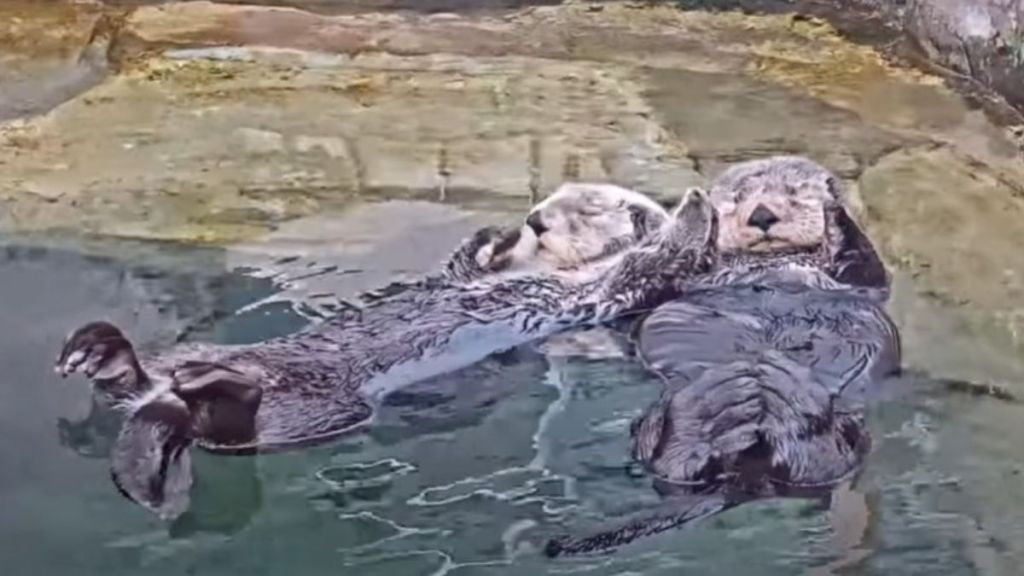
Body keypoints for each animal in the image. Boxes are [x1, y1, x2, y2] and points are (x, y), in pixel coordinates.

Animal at [54, 187, 712, 516]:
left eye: (590, 208)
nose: (534, 221)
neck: (549, 271)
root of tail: (165, 394)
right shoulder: (471, 275)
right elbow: (463, 265)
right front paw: (493, 237)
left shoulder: (615, 290)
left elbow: (658, 259)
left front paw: (696, 206)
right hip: (187, 357)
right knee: (132, 385)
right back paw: (99, 353)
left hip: (317, 411)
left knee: (229, 431)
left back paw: (210, 389)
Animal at [540, 154, 901, 553]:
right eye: (737, 197)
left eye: (793, 193)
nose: (761, 214)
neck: (774, 261)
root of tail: (746, 473)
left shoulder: (866, 281)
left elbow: (866, 264)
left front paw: (835, 211)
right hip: (648, 430)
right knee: (673, 466)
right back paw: (722, 399)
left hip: (852, 433)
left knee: (822, 469)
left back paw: (785, 395)